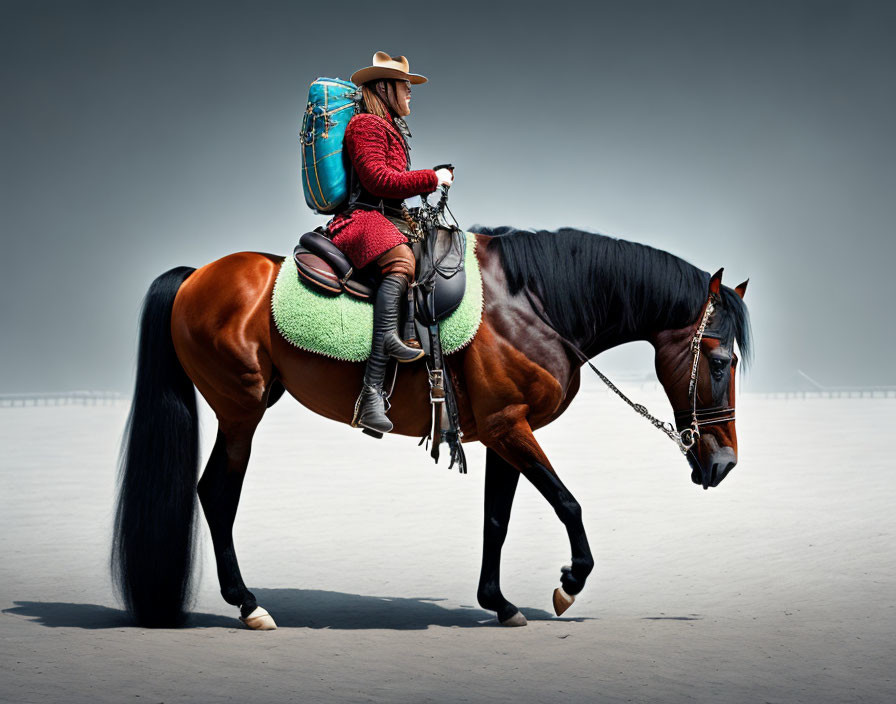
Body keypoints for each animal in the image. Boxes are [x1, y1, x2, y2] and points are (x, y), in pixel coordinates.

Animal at [114, 226, 756, 628]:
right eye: (720, 361)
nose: (724, 463)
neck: (531, 305)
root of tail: (195, 276)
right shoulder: (511, 429)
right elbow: (568, 503)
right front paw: (569, 584)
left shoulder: (503, 431)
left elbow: (497, 519)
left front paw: (499, 603)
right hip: (240, 412)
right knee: (217, 496)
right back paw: (249, 606)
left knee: (212, 494)